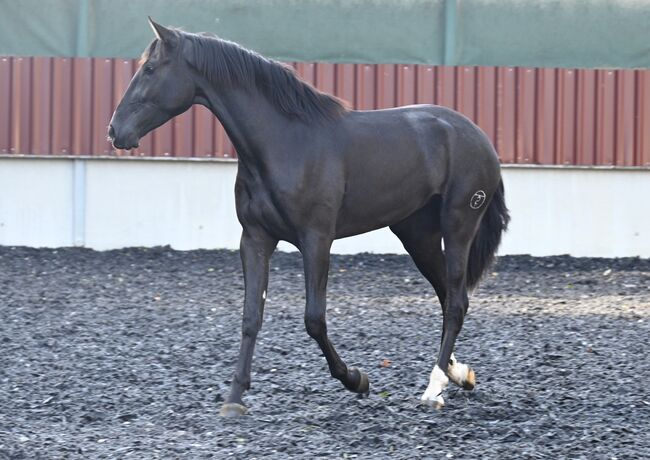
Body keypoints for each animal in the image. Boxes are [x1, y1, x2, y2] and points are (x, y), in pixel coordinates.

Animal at [109, 18, 508, 416]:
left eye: (149, 69)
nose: (115, 131)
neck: (285, 143)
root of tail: (479, 137)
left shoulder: (316, 240)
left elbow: (314, 319)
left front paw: (356, 379)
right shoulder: (255, 239)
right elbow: (251, 316)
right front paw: (235, 398)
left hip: (458, 225)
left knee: (455, 302)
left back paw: (434, 387)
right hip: (417, 236)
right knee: (448, 296)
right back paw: (458, 375)